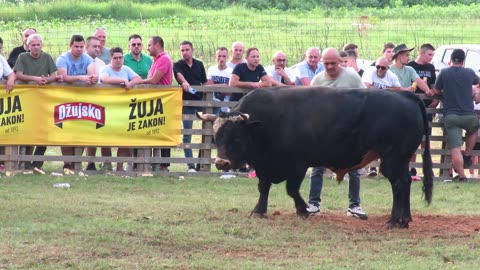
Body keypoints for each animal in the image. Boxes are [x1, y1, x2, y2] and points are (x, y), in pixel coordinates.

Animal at [197, 86, 434, 228]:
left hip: (393, 158)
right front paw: (259, 211)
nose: (221, 162)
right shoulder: (264, 164)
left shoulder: (298, 164)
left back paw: (395, 220)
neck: (268, 121)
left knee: (399, 183)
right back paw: (405, 218)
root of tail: (405, 95)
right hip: (401, 159)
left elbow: (291, 189)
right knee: (404, 183)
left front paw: (304, 210)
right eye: (217, 136)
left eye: (236, 137)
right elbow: (263, 187)